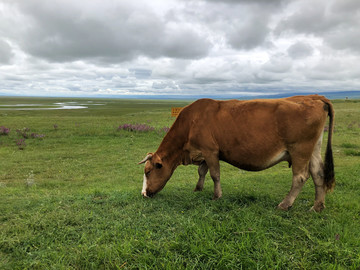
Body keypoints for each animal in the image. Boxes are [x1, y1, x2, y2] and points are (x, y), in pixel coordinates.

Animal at [139, 94, 334, 211]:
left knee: (300, 177)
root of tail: (314, 97)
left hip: (299, 149)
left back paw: (285, 204)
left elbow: (215, 174)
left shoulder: (211, 151)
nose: (144, 194)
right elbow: (202, 171)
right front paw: (198, 189)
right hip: (313, 149)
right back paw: (317, 206)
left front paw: (216, 196)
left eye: (148, 171)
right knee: (318, 174)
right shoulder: (204, 153)